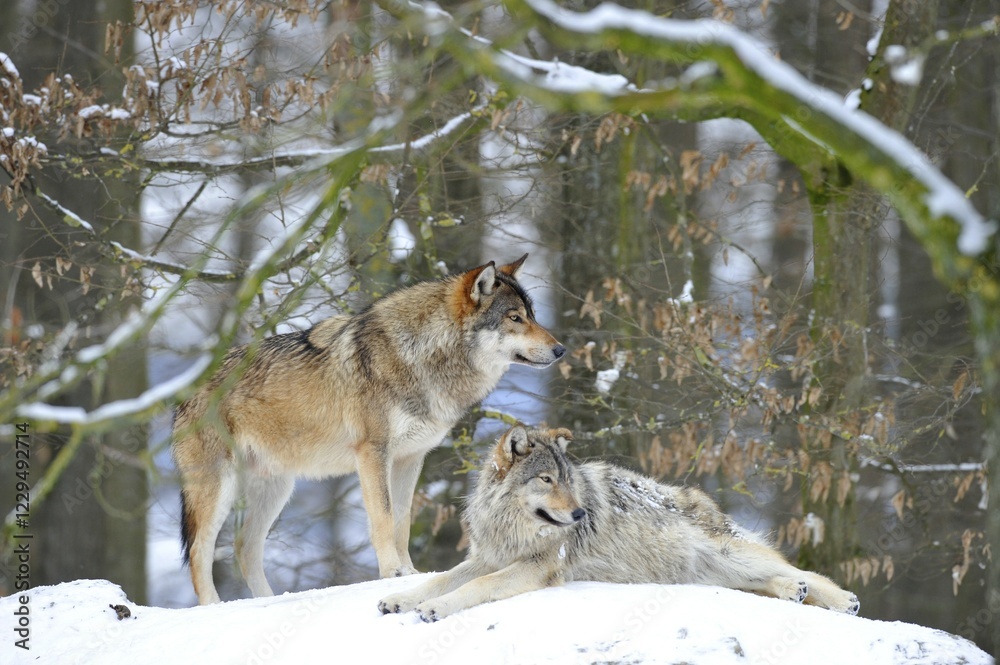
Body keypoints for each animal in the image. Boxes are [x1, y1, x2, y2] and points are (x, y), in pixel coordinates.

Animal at [173, 255, 565, 605]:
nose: (560, 349)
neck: (422, 356)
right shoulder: (373, 452)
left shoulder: (411, 458)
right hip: (218, 489)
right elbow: (384, 518)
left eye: (532, 315)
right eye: (514, 318)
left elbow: (403, 521)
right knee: (200, 552)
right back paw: (214, 607)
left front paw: (409, 573)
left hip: (277, 488)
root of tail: (184, 388)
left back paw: (267, 602)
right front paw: (392, 573)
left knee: (244, 546)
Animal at [378, 424, 860, 621]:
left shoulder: (537, 567)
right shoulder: (488, 558)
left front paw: (435, 610)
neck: (511, 526)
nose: (579, 513)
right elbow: (438, 579)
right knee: (771, 581)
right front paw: (400, 598)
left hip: (730, 553)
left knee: (802, 570)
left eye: (568, 480)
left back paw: (841, 600)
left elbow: (474, 588)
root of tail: (707, 502)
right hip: (708, 573)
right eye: (547, 479)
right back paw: (793, 593)